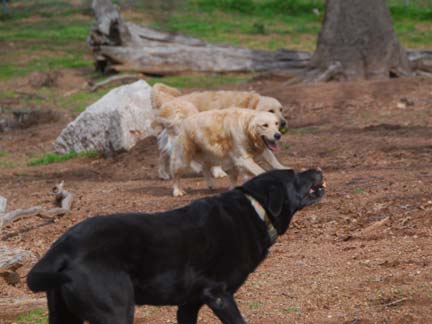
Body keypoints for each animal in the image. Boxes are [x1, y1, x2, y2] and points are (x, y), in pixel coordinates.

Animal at [27, 170, 324, 324]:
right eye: (295, 175)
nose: (318, 170)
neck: (255, 209)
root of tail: (62, 248)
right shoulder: (219, 295)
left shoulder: (189, 304)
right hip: (116, 311)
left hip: (64, 316)